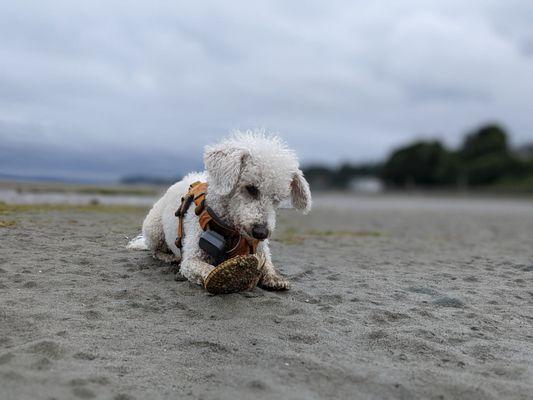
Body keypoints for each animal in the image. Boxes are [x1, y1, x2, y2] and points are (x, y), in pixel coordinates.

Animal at [128, 131, 312, 290]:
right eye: (251, 188)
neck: (232, 230)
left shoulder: (260, 250)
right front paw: (226, 277)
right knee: (154, 250)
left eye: (277, 199)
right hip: (154, 229)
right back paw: (168, 256)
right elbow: (207, 269)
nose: (261, 233)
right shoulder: (191, 260)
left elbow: (268, 262)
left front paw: (274, 277)